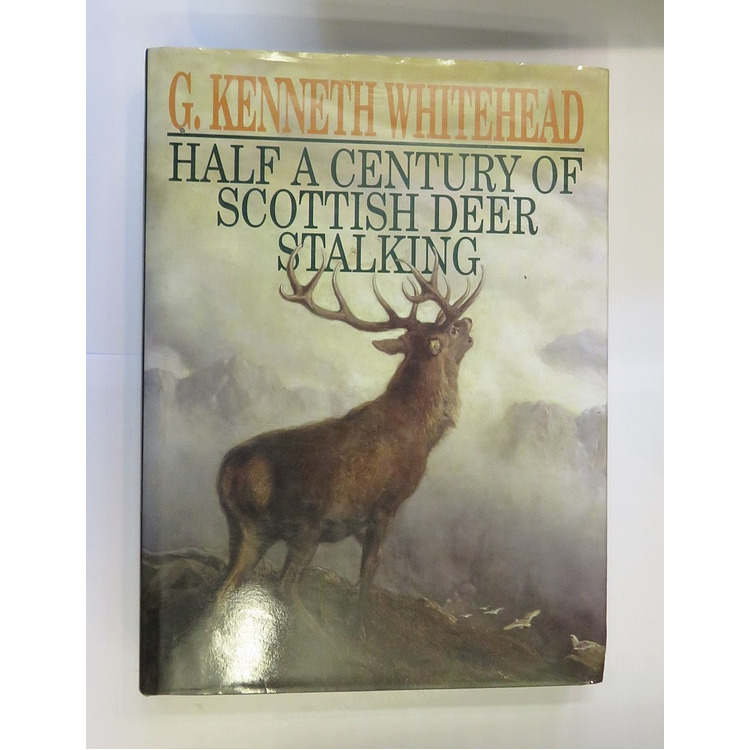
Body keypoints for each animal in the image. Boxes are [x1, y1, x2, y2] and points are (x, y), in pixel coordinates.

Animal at [216, 246, 483, 629]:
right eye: (451, 329)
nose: (470, 322)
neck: (421, 432)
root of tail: (230, 472)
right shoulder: (387, 504)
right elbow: (370, 568)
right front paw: (359, 628)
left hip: (244, 528)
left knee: (226, 585)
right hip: (304, 526)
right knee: (284, 585)